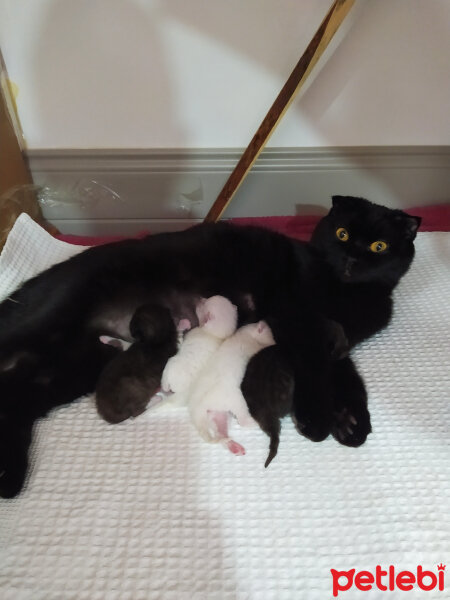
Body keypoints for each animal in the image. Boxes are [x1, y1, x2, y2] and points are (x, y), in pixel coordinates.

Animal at [186, 324, 274, 454]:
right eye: (271, 335)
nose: (275, 343)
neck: (242, 334)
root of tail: (197, 410)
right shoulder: (253, 346)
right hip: (236, 400)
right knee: (242, 421)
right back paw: (253, 422)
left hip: (219, 416)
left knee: (221, 434)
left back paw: (233, 446)